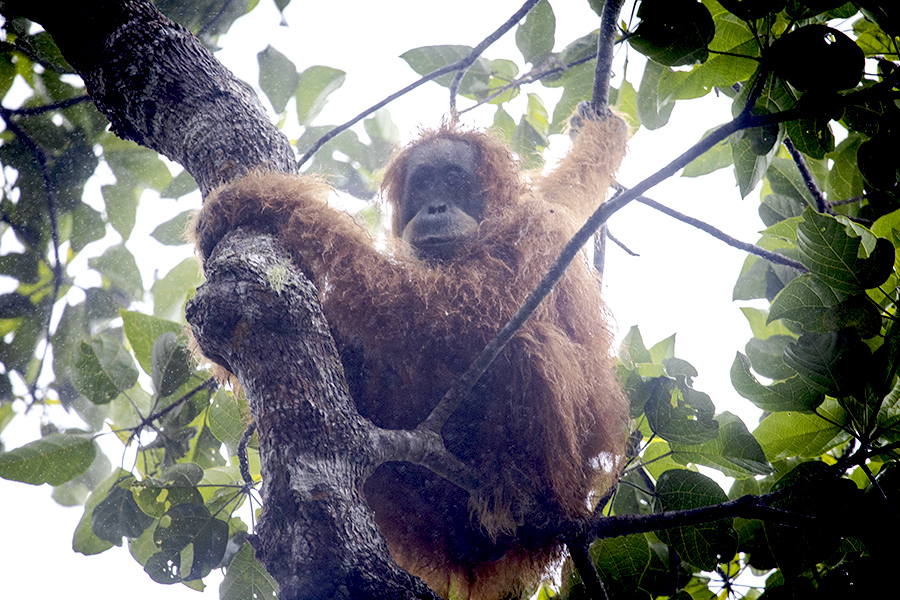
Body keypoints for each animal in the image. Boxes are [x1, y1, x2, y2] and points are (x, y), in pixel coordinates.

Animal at [193, 110, 630, 600]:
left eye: (454, 180)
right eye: (423, 184)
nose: (435, 208)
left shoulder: (536, 229)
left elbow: (472, 311)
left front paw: (263, 201)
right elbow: (572, 187)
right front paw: (599, 134)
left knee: (529, 345)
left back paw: (517, 487)